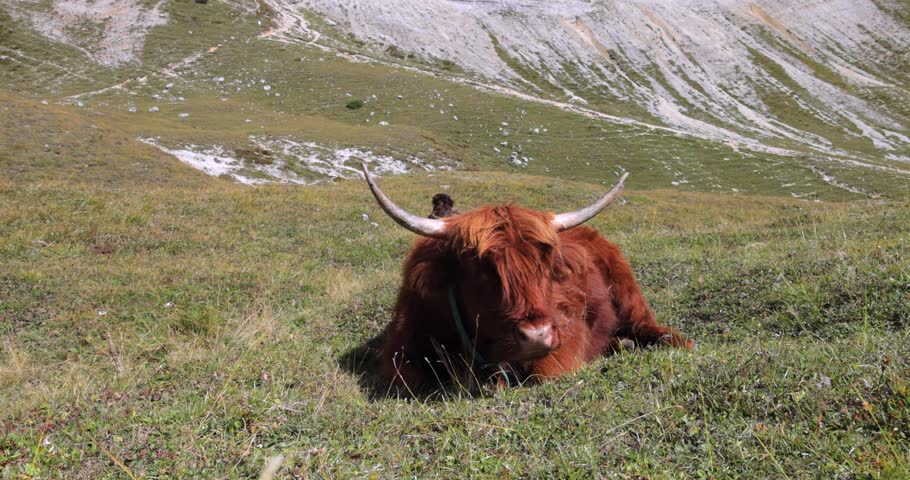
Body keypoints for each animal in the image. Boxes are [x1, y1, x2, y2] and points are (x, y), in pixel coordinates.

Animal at [362, 164, 692, 390]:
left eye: (544, 261)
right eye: (478, 265)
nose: (536, 335)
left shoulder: (564, 333)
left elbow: (546, 371)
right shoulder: (400, 352)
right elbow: (410, 378)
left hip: (628, 291)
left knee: (649, 326)